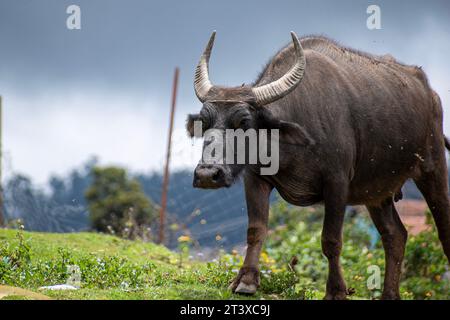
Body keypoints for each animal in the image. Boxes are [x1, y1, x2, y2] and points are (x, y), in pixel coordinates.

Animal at [186, 31, 450, 298]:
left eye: (243, 121)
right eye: (205, 122)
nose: (207, 174)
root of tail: (431, 95)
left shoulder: (337, 183)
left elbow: (331, 240)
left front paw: (336, 290)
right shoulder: (255, 179)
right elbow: (255, 230)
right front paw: (246, 281)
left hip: (433, 168)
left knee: (443, 230)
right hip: (377, 192)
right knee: (395, 235)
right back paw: (390, 294)